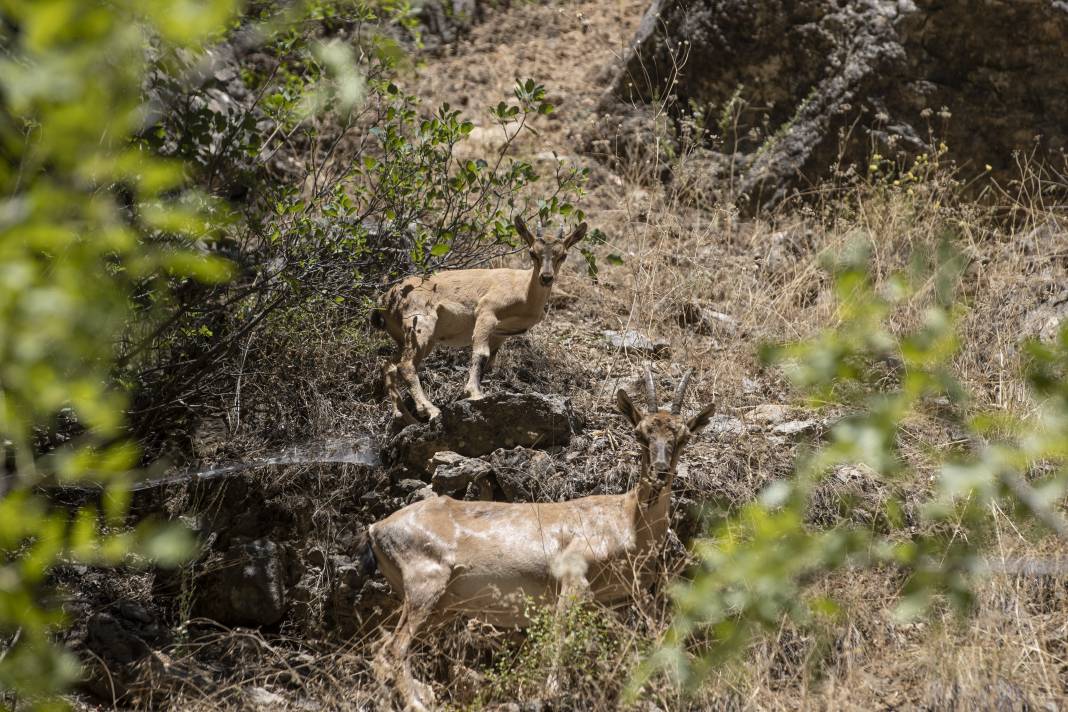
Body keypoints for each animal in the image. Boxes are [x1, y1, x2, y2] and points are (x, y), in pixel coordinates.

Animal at [360, 367, 717, 712]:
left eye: (683, 436)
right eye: (640, 433)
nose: (659, 472)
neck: (626, 521)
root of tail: (377, 530)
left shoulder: (620, 599)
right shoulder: (572, 578)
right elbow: (560, 637)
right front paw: (552, 692)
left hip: (442, 606)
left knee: (380, 649)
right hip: (425, 584)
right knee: (394, 649)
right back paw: (416, 701)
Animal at [371, 214, 589, 420]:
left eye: (563, 255)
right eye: (532, 252)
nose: (546, 277)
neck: (524, 292)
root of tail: (386, 298)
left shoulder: (501, 333)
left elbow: (490, 361)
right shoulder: (486, 312)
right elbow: (480, 353)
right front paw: (474, 393)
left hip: (409, 339)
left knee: (390, 366)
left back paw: (406, 417)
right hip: (420, 325)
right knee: (405, 366)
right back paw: (430, 410)